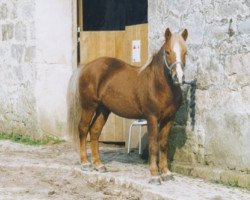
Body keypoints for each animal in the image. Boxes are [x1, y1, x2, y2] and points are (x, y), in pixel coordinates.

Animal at [67, 27, 188, 184]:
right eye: (167, 52)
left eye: (186, 52)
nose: (178, 77)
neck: (158, 85)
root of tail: (86, 66)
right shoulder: (152, 118)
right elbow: (153, 145)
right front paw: (154, 175)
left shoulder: (169, 118)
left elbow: (163, 144)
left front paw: (166, 173)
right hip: (89, 106)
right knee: (83, 128)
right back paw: (85, 163)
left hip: (103, 109)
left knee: (94, 131)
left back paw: (98, 165)